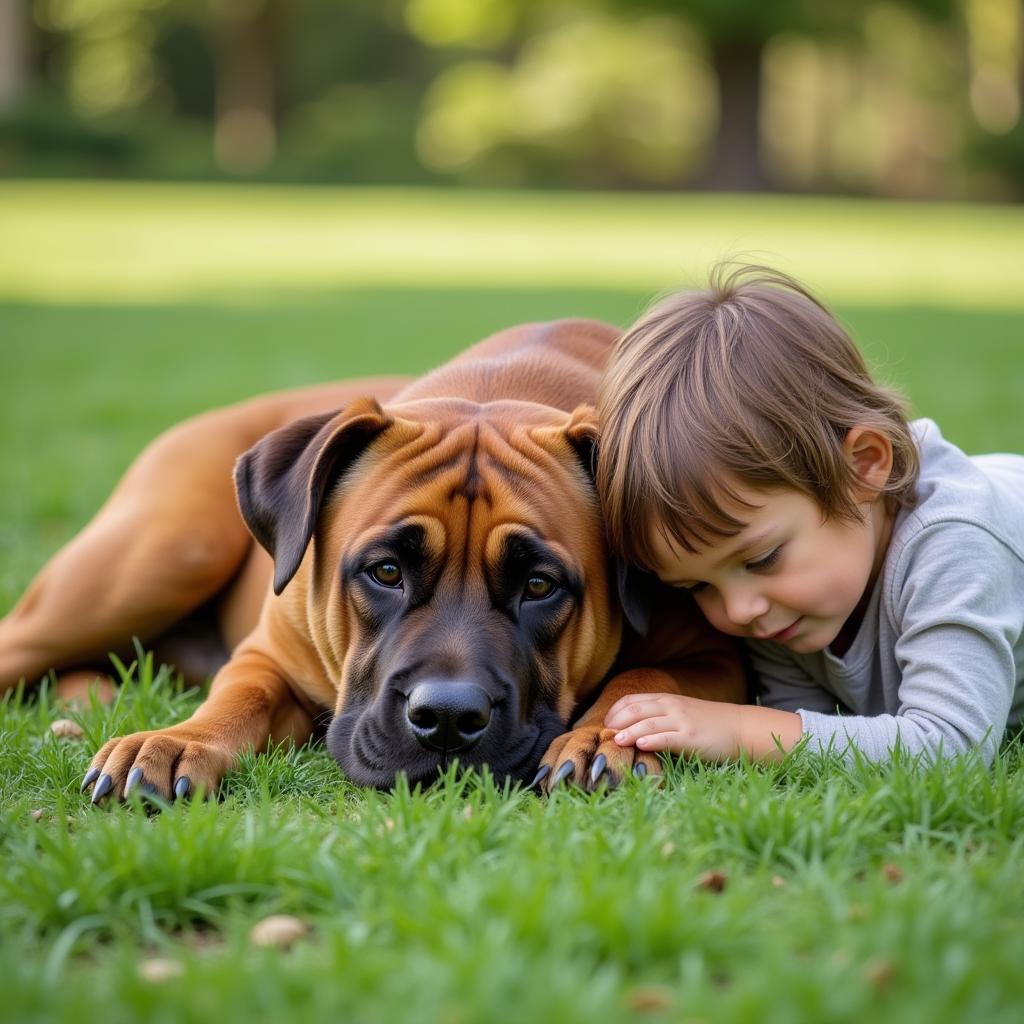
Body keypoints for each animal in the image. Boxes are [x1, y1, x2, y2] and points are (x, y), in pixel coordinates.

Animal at [0, 315, 745, 794]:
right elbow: (241, 693)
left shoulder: (714, 656)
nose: (447, 718)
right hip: (160, 555)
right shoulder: (270, 653)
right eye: (386, 572)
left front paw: (599, 738)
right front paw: (181, 738)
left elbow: (645, 677)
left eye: (539, 585)